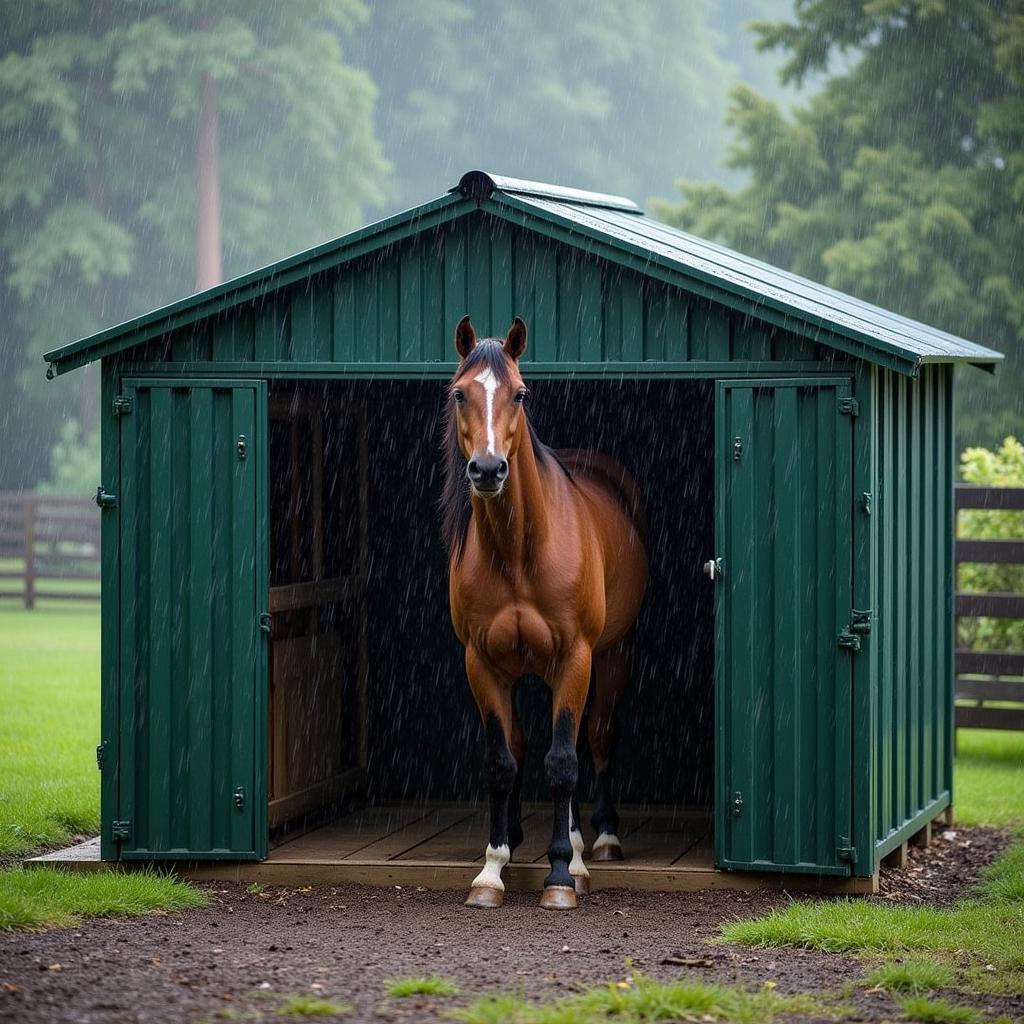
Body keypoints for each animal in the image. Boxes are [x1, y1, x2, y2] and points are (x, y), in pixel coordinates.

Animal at [440, 315, 647, 909]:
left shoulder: (575, 657)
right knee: (524, 744)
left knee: (593, 737)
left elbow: (562, 763)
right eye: (459, 393)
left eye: (521, 392)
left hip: (611, 654)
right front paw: (492, 868)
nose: (488, 469)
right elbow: (502, 760)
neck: (518, 553)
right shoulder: (482, 662)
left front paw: (560, 875)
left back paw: (594, 843)